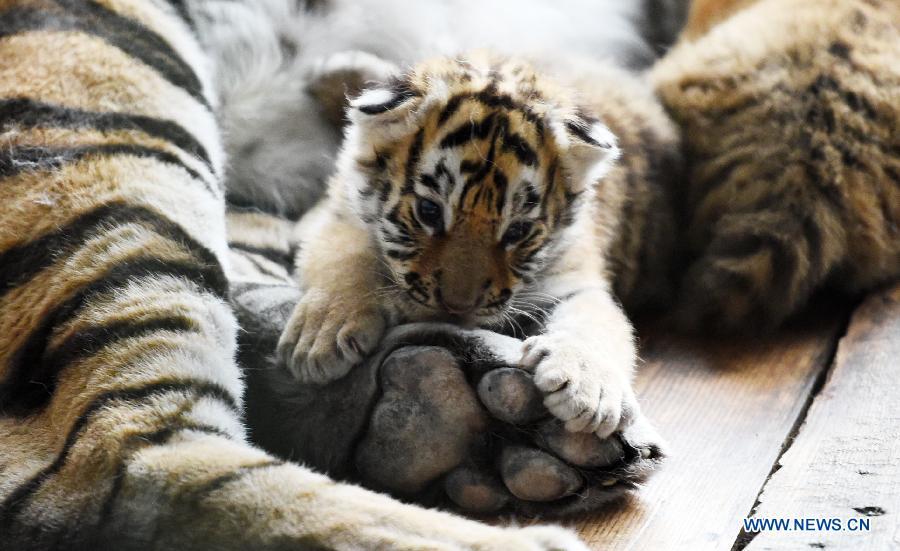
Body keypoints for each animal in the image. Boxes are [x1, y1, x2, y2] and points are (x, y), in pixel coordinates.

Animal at [276, 51, 681, 441]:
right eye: (429, 211)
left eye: (518, 231)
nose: (457, 308)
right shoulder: (345, 210)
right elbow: (343, 256)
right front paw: (321, 339)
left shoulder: (574, 280)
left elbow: (596, 322)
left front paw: (589, 392)